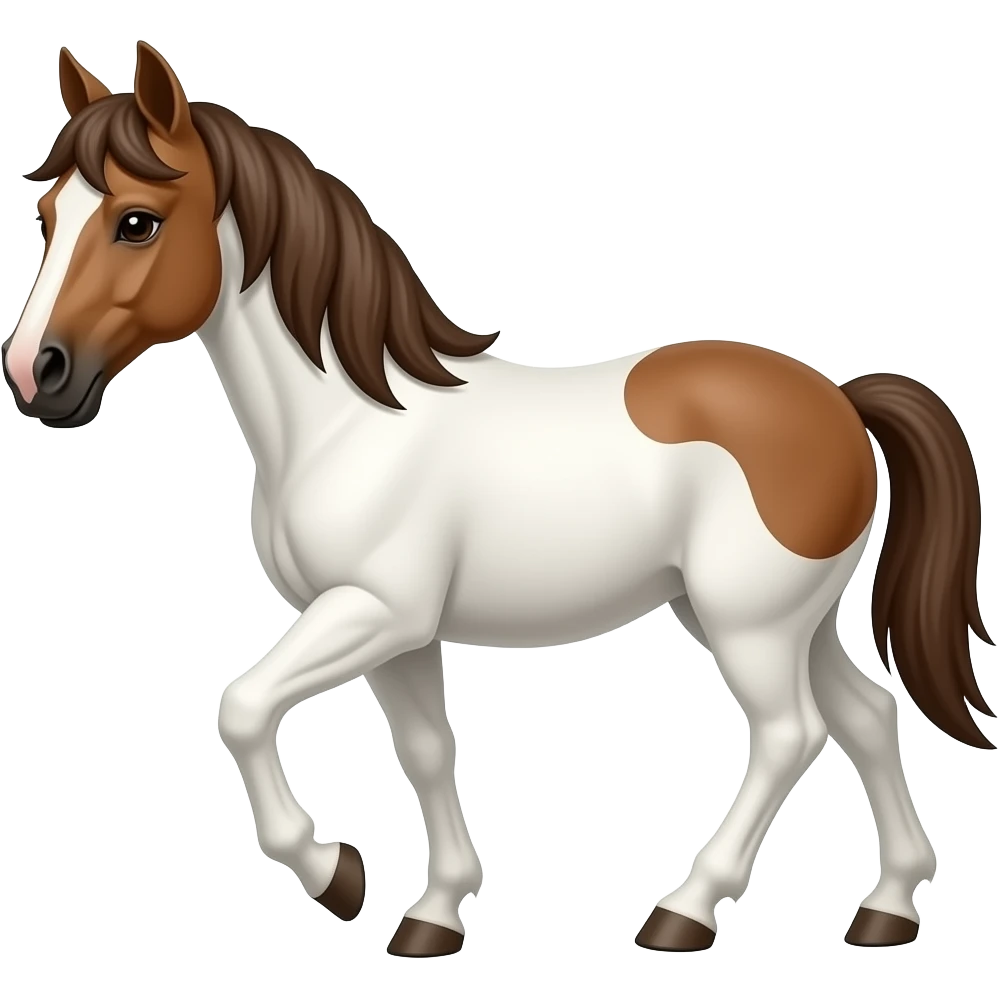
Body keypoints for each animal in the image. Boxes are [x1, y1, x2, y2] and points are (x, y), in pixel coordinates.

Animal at [4, 41, 993, 959]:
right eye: (47, 216)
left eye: (136, 222)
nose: (33, 374)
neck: (350, 421)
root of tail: (840, 399)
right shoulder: (402, 637)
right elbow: (427, 751)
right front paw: (431, 915)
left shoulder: (373, 611)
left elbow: (241, 707)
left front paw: (335, 875)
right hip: (780, 618)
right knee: (866, 715)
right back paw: (886, 910)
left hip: (750, 623)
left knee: (790, 734)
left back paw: (684, 911)